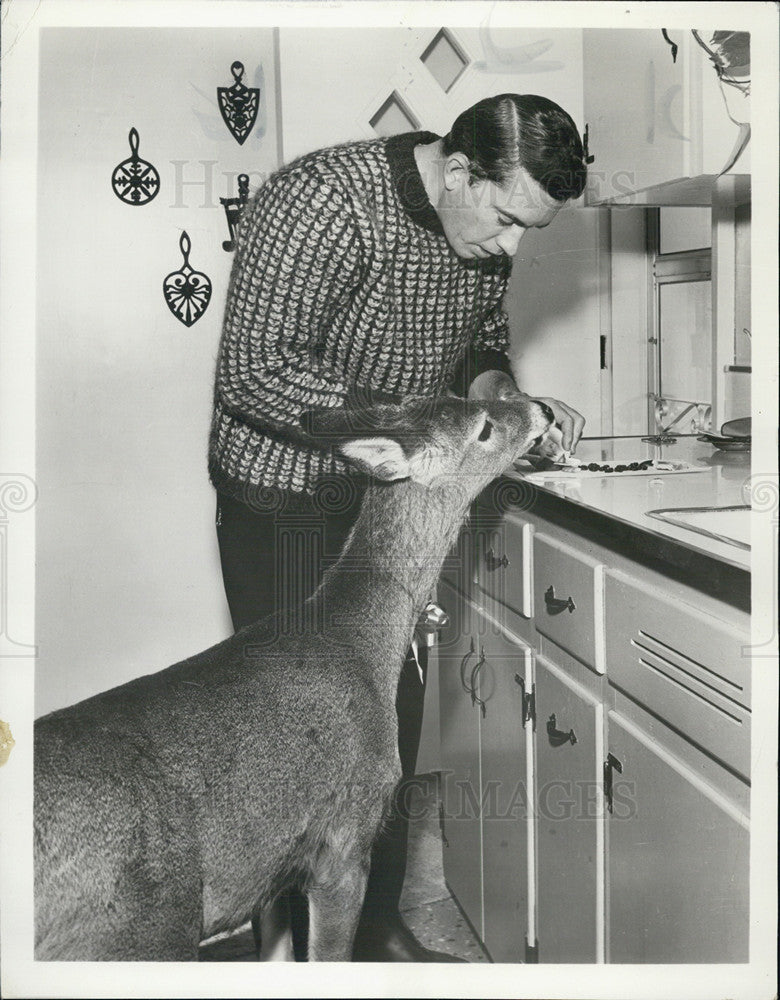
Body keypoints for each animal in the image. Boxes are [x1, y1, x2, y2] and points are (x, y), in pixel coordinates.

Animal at [33, 390, 552, 960]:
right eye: (483, 428)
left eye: (464, 396)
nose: (545, 409)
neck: (359, 643)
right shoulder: (342, 843)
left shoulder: (272, 864)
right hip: (140, 929)